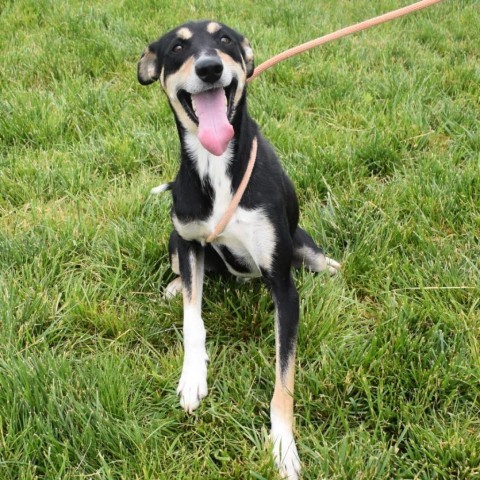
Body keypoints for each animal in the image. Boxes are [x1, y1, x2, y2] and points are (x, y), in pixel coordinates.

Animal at [139, 20, 342, 478]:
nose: (210, 67)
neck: (216, 165)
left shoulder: (284, 286)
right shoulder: (189, 239)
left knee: (322, 262)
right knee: (187, 275)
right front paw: (193, 377)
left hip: (302, 245)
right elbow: (192, 320)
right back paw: (175, 287)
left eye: (224, 39)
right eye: (177, 47)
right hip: (175, 243)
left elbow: (284, 379)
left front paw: (283, 446)